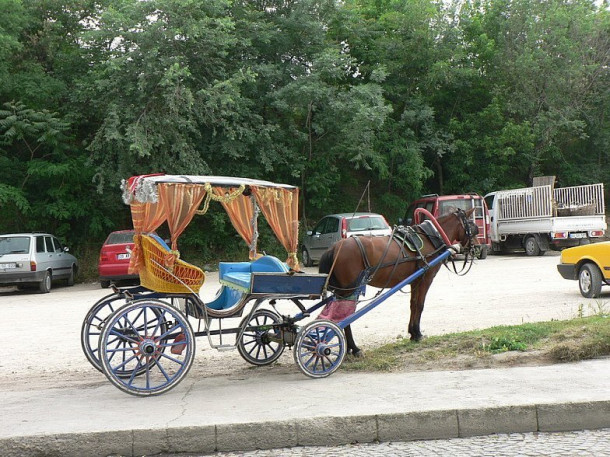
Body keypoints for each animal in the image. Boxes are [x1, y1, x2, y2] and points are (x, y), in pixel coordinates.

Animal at [316, 207, 478, 352]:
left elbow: (413, 305)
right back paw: (353, 348)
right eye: (472, 227)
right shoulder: (425, 279)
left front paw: (413, 333)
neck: (430, 237)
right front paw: (418, 333)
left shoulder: (415, 281)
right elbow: (420, 305)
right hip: (349, 290)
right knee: (345, 317)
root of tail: (334, 248)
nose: (476, 247)